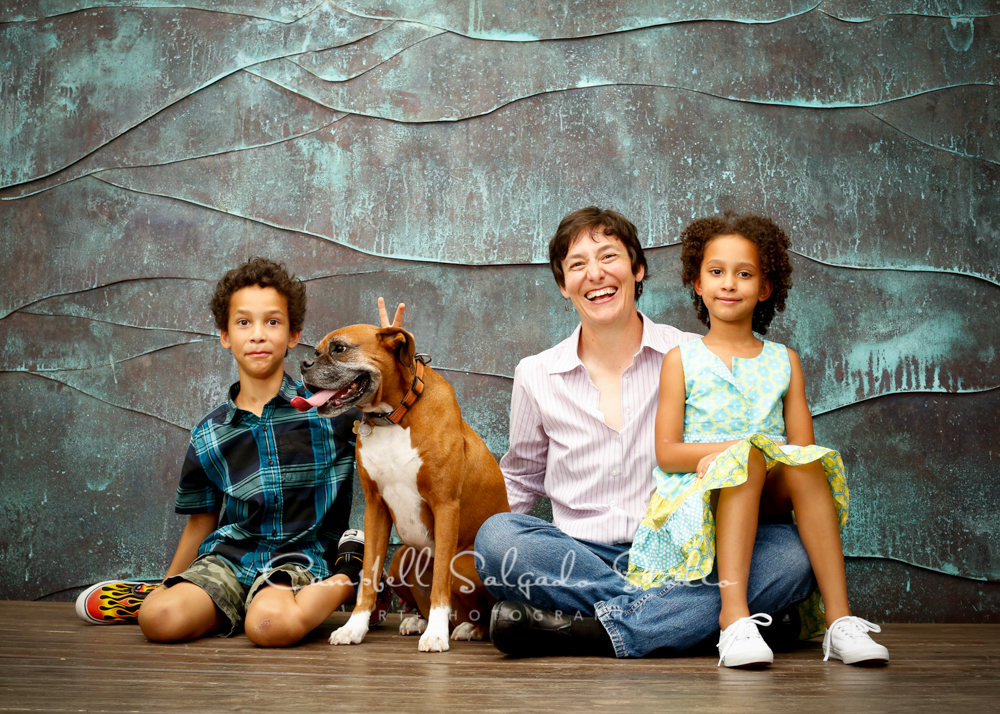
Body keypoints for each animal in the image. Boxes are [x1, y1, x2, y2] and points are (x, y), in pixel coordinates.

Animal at [298, 322, 508, 652]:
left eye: (340, 349)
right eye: (316, 351)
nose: (304, 364)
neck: (393, 416)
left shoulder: (445, 505)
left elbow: (440, 582)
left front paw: (435, 635)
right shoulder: (375, 508)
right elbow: (369, 578)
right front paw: (354, 628)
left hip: (464, 563)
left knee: (477, 609)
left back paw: (468, 628)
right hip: (399, 559)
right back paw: (418, 620)